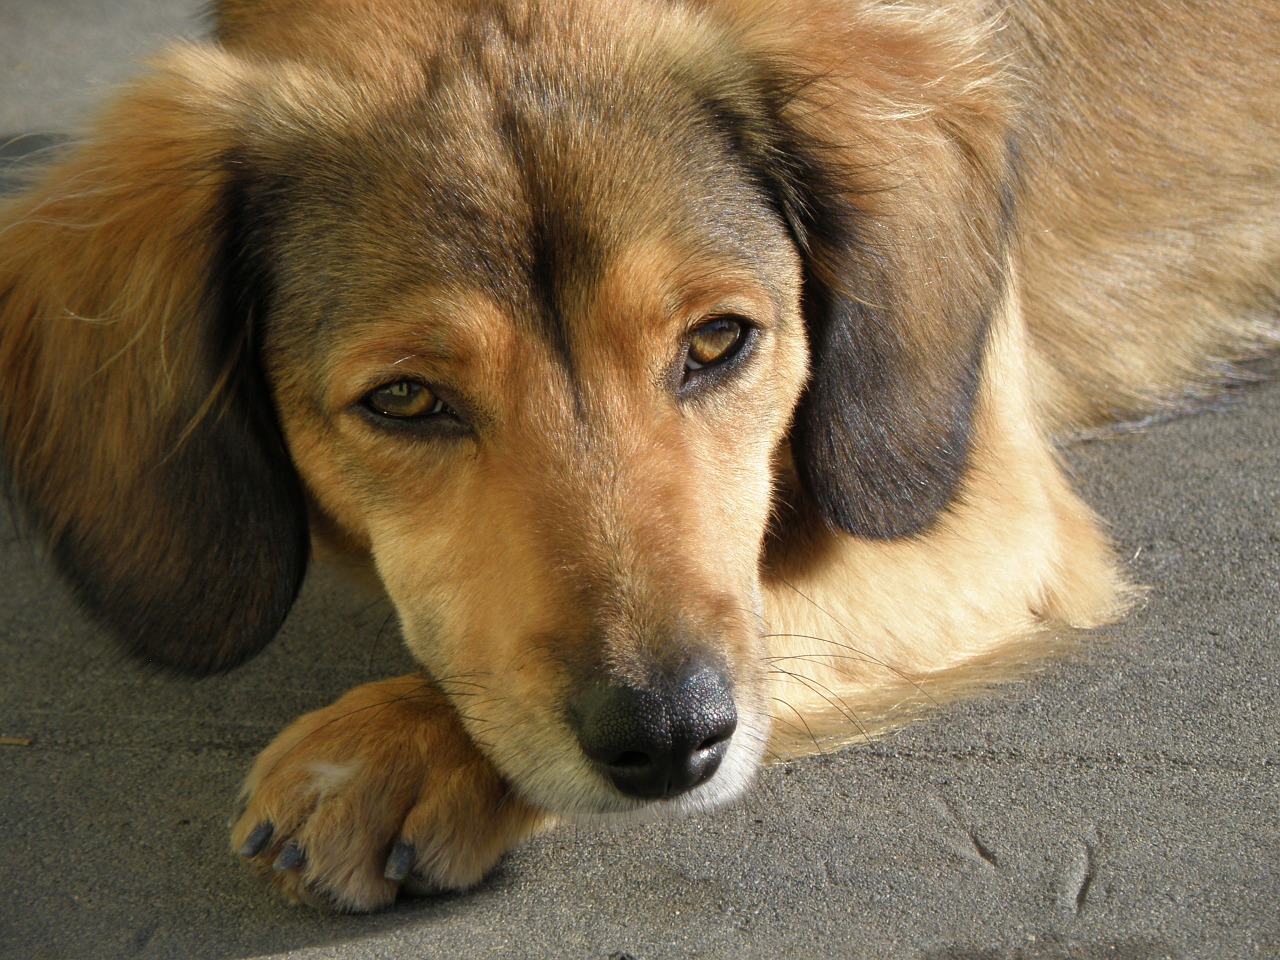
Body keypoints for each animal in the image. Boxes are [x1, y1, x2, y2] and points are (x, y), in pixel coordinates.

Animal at [0, 0, 1274, 916]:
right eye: (405, 400)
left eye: (717, 342)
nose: (669, 741)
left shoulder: (988, 508)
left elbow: (772, 609)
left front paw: (403, 741)